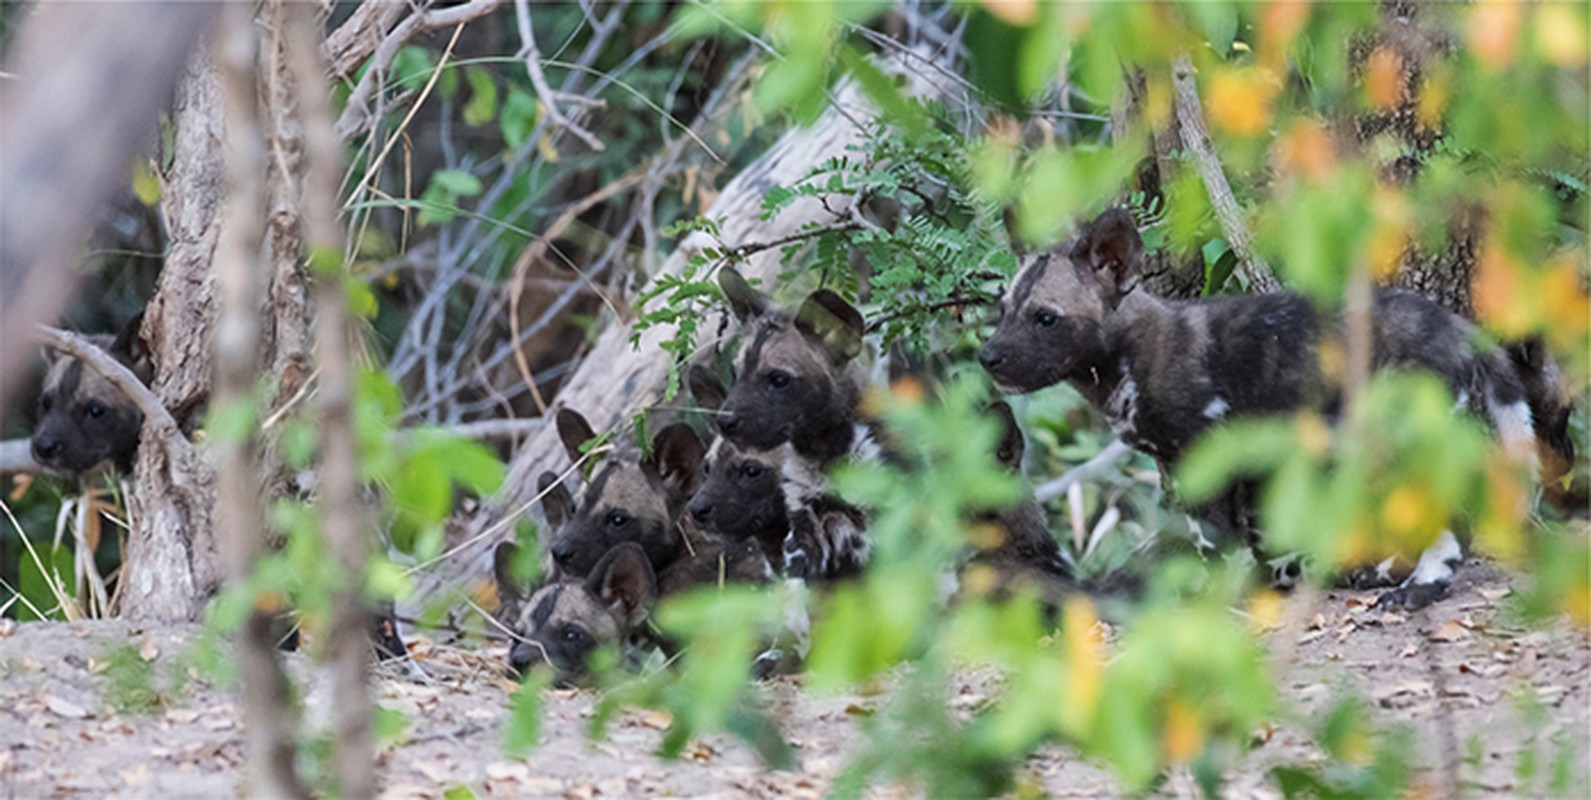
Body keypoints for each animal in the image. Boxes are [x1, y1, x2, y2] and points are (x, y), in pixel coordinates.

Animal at [980, 209, 1540, 610]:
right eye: (1003, 310)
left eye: (1045, 318)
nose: (987, 357)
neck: (1130, 358)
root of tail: (1455, 326)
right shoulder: (1220, 469)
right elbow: (1251, 545)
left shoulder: (1207, 461)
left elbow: (1215, 547)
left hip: (1401, 434)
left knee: (1452, 517)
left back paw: (1420, 589)